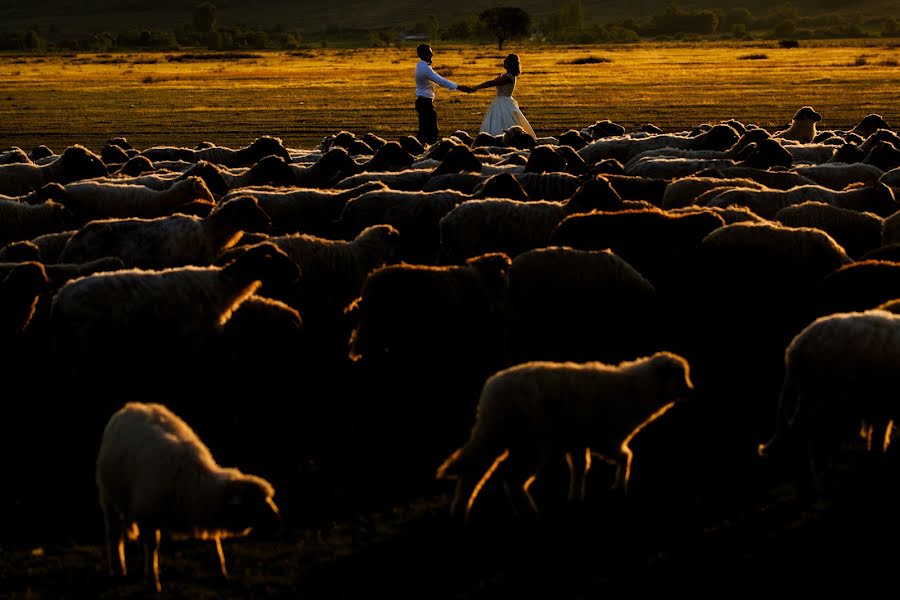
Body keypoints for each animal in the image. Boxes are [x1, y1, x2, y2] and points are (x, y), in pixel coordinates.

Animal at [93, 400, 280, 592]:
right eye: (254, 502)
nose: (278, 518)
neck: (194, 481)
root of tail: (132, 406)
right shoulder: (150, 514)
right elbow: (152, 546)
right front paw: (154, 582)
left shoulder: (199, 509)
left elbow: (214, 541)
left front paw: (221, 571)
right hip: (109, 499)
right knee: (114, 535)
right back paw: (118, 569)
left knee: (136, 539)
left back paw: (139, 569)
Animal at [436, 352, 696, 520]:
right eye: (680, 377)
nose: (692, 391)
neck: (640, 390)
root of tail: (492, 395)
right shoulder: (605, 438)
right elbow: (626, 457)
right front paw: (619, 488)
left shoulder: (579, 442)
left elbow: (581, 467)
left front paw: (576, 498)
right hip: (533, 443)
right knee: (512, 479)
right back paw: (531, 514)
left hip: (497, 436)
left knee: (473, 472)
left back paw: (461, 513)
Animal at [760, 308, 900, 500]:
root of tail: (797, 344)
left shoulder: (881, 406)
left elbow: (878, 438)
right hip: (823, 396)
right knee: (801, 433)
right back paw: (807, 487)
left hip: (812, 394)